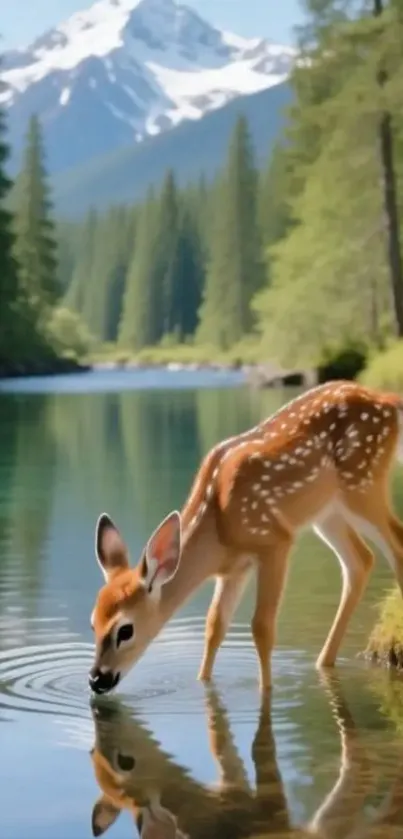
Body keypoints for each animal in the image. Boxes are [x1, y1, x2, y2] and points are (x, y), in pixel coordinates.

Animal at [88, 379, 403, 696]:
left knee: (395, 543)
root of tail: (388, 402)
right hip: (327, 512)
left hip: (362, 482)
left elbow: (261, 627)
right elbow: (214, 626)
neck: (218, 530)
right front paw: (202, 680)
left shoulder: (274, 541)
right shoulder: (234, 569)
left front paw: (266, 689)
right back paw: (323, 662)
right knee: (361, 560)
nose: (96, 679)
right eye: (93, 624)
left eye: (125, 630)